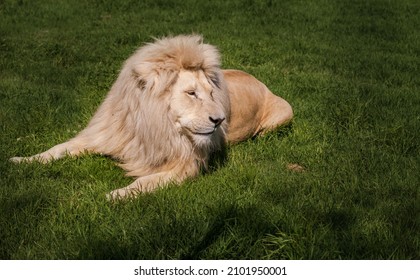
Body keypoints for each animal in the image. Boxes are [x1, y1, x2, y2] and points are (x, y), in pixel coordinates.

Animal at [9, 34, 292, 199]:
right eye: (191, 93)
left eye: (212, 93)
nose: (220, 121)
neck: (150, 124)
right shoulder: (105, 136)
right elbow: (57, 149)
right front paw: (23, 160)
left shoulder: (185, 166)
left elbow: (144, 182)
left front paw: (115, 195)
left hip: (286, 112)